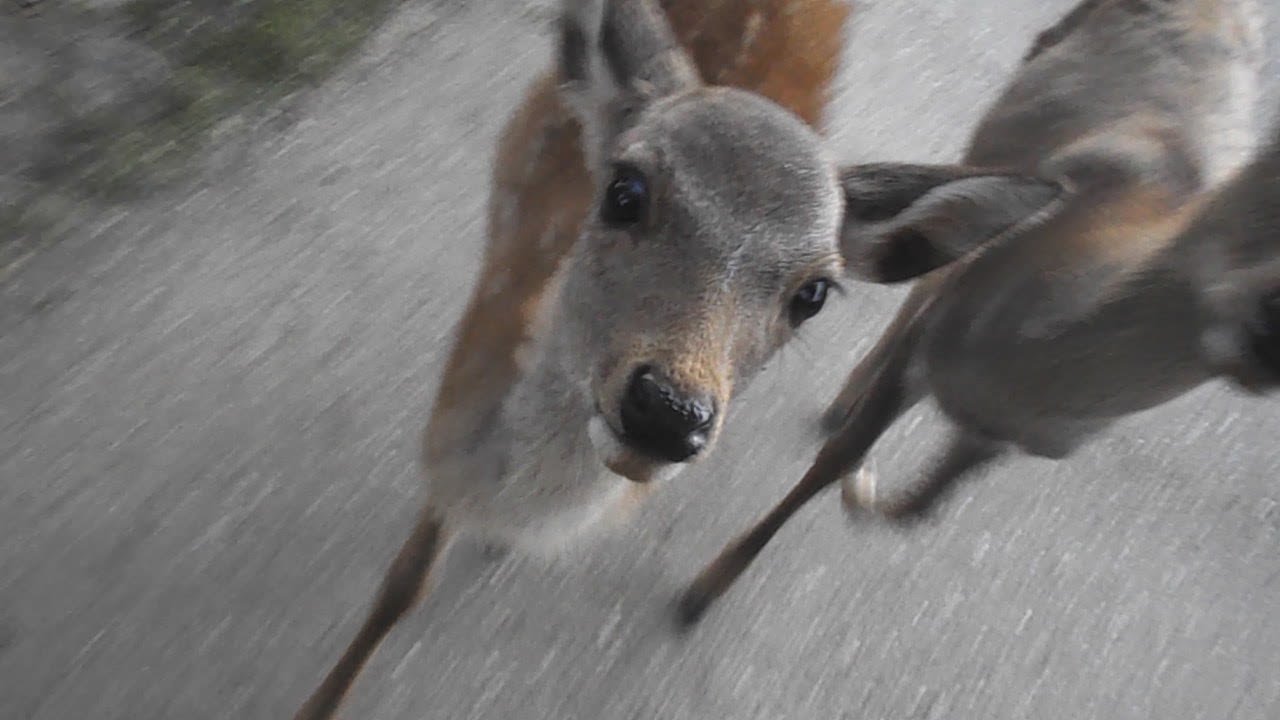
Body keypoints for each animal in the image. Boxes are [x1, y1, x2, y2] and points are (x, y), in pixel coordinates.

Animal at [289, 0, 856, 716]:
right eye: (625, 190)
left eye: (814, 294)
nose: (668, 411)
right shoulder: (450, 423)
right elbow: (403, 583)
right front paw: (318, 702)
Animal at [675, 0, 1273, 626]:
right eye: (1264, 176)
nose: (1266, 326)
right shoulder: (930, 346)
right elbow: (840, 456)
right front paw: (705, 588)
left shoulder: (1011, 438)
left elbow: (921, 508)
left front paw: (865, 492)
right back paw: (846, 397)